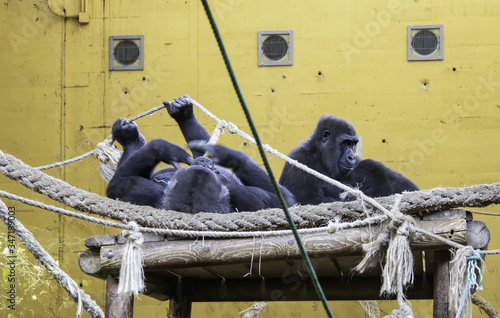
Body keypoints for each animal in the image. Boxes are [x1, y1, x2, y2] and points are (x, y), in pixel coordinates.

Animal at [280, 115, 420, 205]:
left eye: (353, 144)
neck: (321, 157)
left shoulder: (357, 162)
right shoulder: (298, 160)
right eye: (346, 143)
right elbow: (308, 200)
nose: (351, 156)